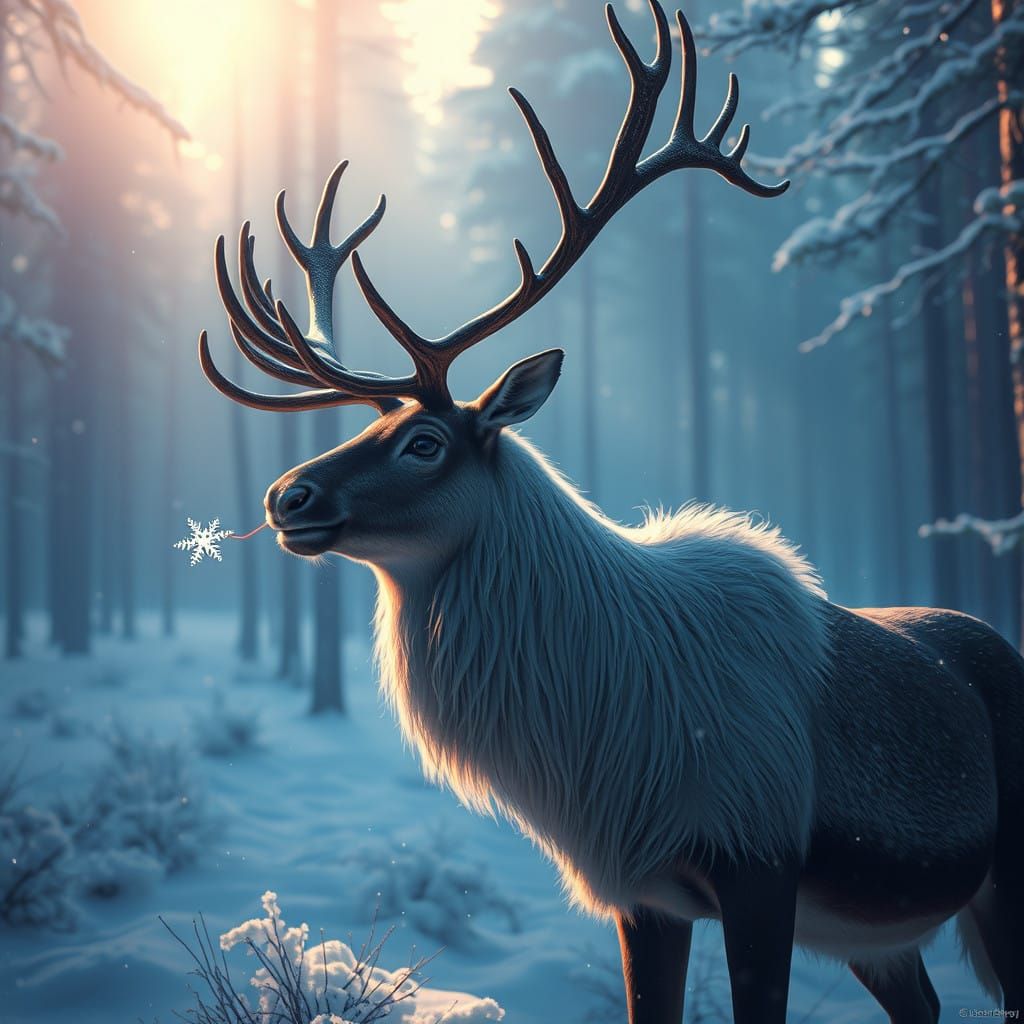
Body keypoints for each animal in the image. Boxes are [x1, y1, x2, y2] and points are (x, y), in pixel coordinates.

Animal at [198, 3, 1024, 1021]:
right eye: (375, 424)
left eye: (424, 441)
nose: (287, 496)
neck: (602, 744)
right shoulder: (646, 894)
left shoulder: (760, 861)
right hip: (878, 933)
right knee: (927, 1003)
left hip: (1002, 885)